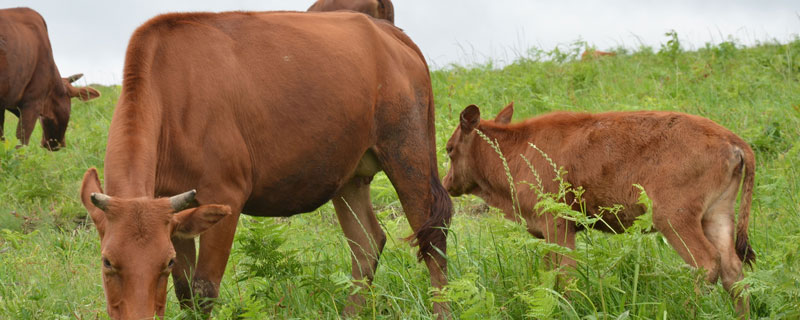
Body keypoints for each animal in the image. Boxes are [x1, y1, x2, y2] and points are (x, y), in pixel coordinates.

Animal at [79, 10, 454, 320]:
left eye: (164, 262)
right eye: (107, 261)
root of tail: (386, 31)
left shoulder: (225, 192)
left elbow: (203, 290)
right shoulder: (175, 210)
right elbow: (185, 291)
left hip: (408, 149)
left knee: (432, 235)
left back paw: (442, 311)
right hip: (349, 175)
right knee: (366, 243)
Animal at [444, 103, 756, 316]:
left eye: (448, 148)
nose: (446, 182)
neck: (518, 150)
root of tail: (731, 139)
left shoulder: (558, 224)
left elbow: (566, 275)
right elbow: (549, 275)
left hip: (675, 219)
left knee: (707, 263)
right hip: (716, 215)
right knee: (732, 270)